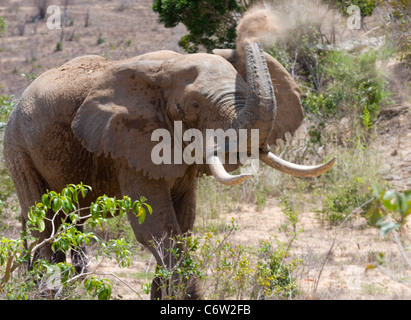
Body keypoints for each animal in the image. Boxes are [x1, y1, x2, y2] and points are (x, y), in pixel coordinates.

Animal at [3, 40, 334, 300]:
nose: (245, 39)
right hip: (17, 148)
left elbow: (184, 222)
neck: (168, 66)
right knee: (45, 223)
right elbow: (155, 227)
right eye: (194, 105)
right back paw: (48, 291)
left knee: (69, 222)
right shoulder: (128, 141)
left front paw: (163, 294)